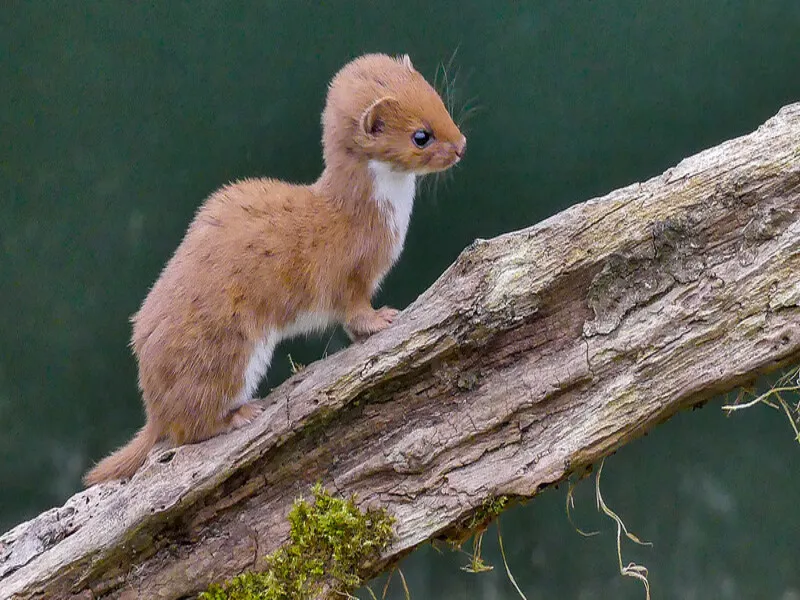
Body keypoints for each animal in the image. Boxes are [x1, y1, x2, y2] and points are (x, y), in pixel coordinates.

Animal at [84, 49, 466, 486]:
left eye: (439, 102)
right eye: (421, 135)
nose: (462, 145)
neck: (384, 218)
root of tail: (152, 401)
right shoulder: (349, 272)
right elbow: (353, 309)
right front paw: (382, 318)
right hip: (226, 352)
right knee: (187, 428)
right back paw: (240, 414)